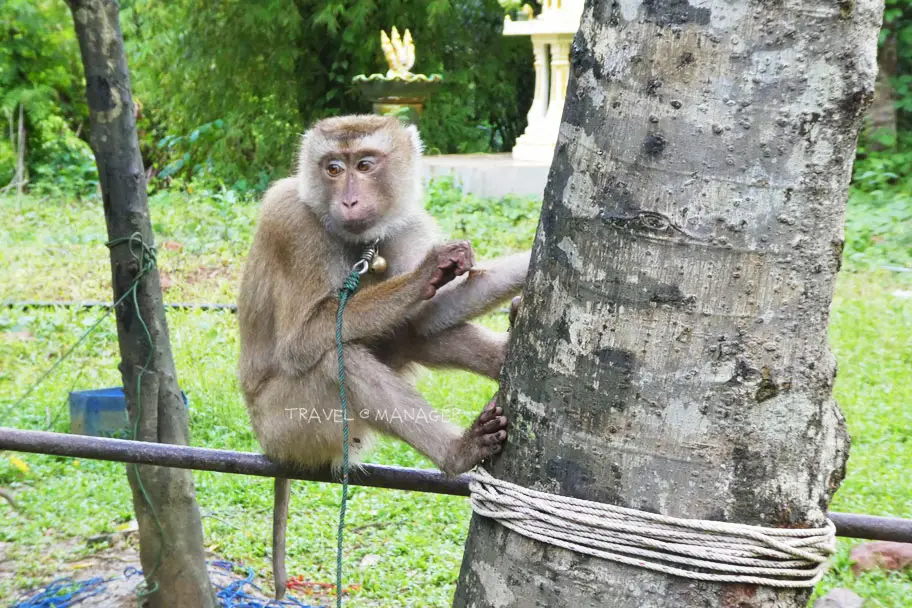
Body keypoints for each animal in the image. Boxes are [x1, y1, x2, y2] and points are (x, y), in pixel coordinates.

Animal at [236, 115, 531, 598]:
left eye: (366, 164)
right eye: (333, 168)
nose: (349, 198)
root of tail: (270, 448)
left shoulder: (405, 225)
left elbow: (431, 316)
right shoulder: (290, 224)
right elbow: (301, 342)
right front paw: (428, 271)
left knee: (415, 334)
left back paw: (507, 349)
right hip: (289, 427)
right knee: (337, 359)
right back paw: (458, 452)